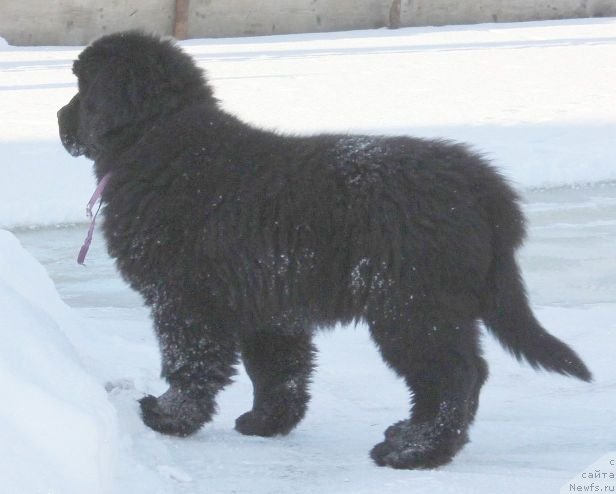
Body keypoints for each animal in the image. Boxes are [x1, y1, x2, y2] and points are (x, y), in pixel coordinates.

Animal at [59, 31, 592, 470]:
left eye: (82, 88)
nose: (59, 118)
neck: (158, 140)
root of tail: (482, 184)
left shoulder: (184, 298)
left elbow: (189, 363)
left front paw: (168, 417)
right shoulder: (268, 303)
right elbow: (279, 370)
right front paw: (267, 422)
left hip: (412, 305)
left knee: (452, 377)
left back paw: (413, 452)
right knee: (462, 376)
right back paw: (417, 439)